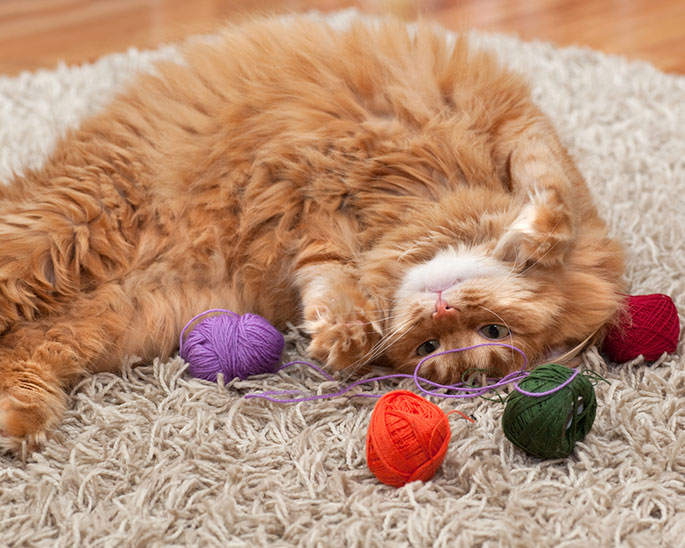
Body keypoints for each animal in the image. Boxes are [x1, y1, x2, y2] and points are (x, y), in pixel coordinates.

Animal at [0, 18, 624, 454]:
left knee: (26, 344)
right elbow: (551, 194)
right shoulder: (513, 123)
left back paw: (20, 422)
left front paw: (342, 336)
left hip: (118, 311)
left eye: (484, 334)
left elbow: (328, 279)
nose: (440, 312)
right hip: (78, 216)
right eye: (435, 344)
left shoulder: (312, 236)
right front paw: (528, 239)